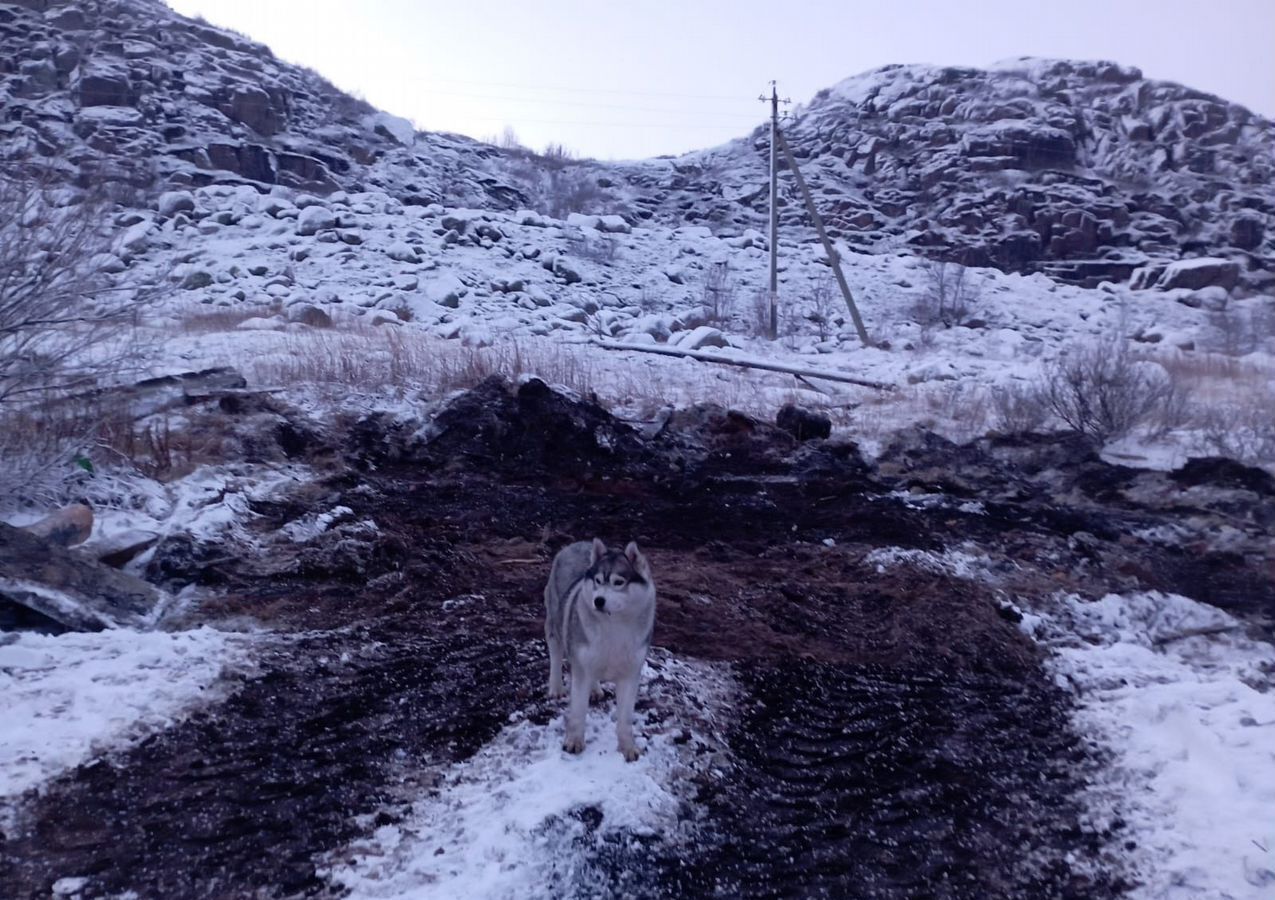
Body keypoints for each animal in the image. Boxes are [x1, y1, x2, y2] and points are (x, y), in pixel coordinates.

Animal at [540, 535, 652, 759]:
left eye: (618, 582)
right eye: (598, 581)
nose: (598, 600)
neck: (614, 625)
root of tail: (575, 544)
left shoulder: (630, 675)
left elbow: (625, 719)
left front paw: (628, 748)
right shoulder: (580, 668)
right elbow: (578, 711)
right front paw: (574, 742)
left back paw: (595, 689)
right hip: (555, 625)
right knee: (555, 653)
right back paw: (555, 687)